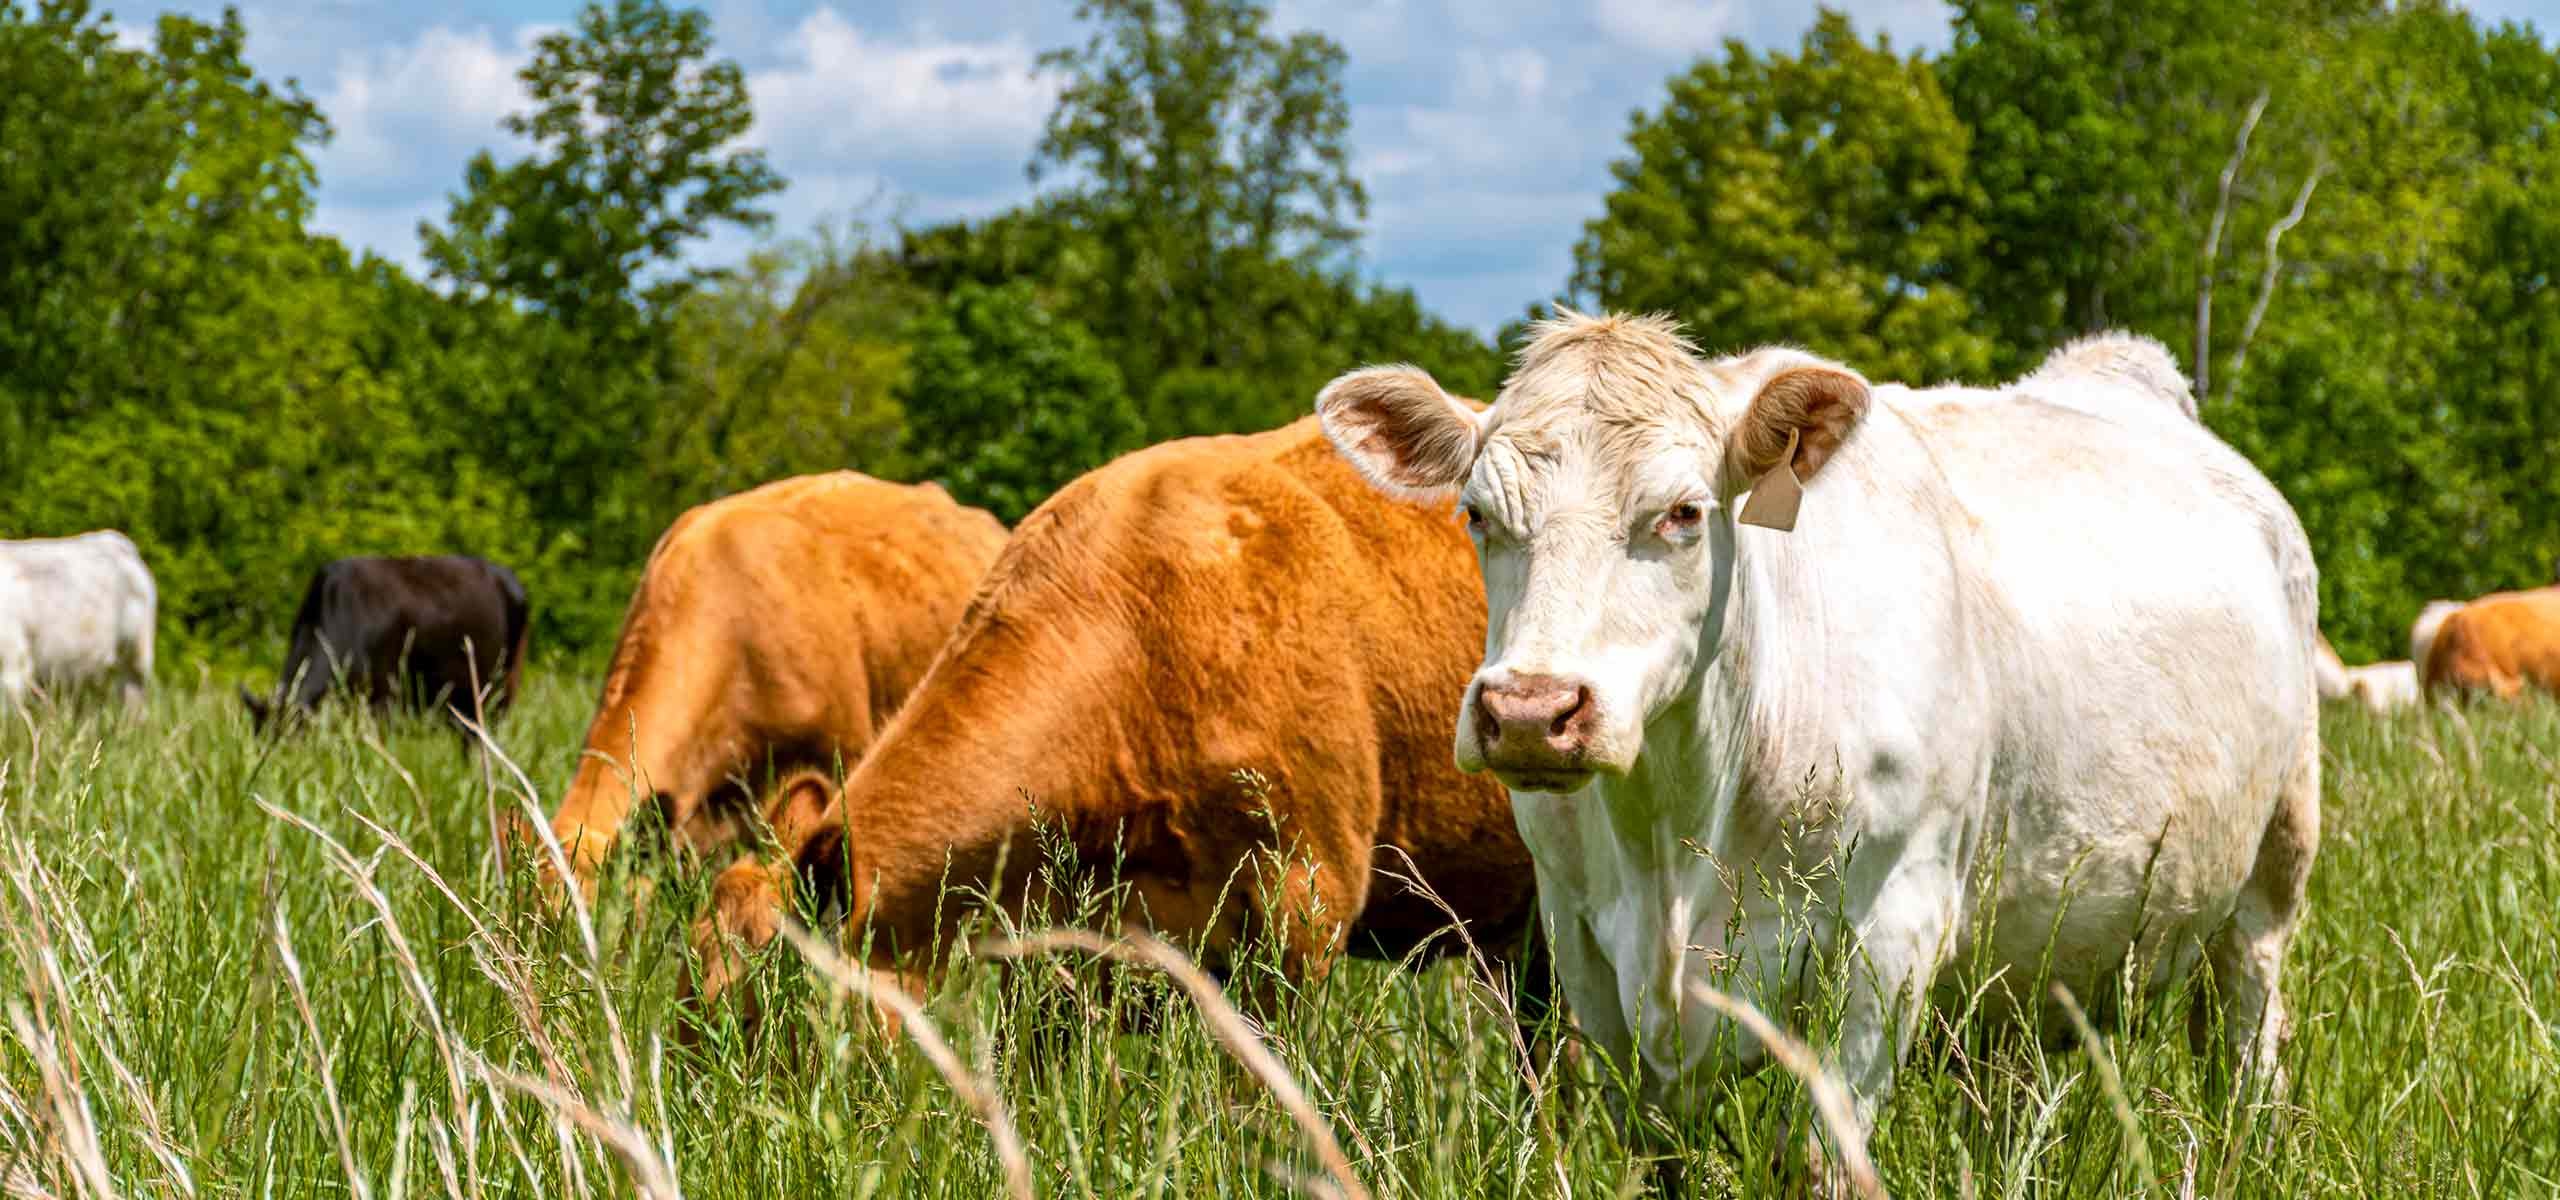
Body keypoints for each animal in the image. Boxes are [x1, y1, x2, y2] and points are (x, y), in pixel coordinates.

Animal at [1315, 312, 2320, 1141]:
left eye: (1683, 513)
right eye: (1476, 512)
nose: (1529, 711)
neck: (1672, 833)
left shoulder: (1891, 938)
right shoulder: (1583, 948)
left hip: (2274, 868)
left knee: (2248, 1035)